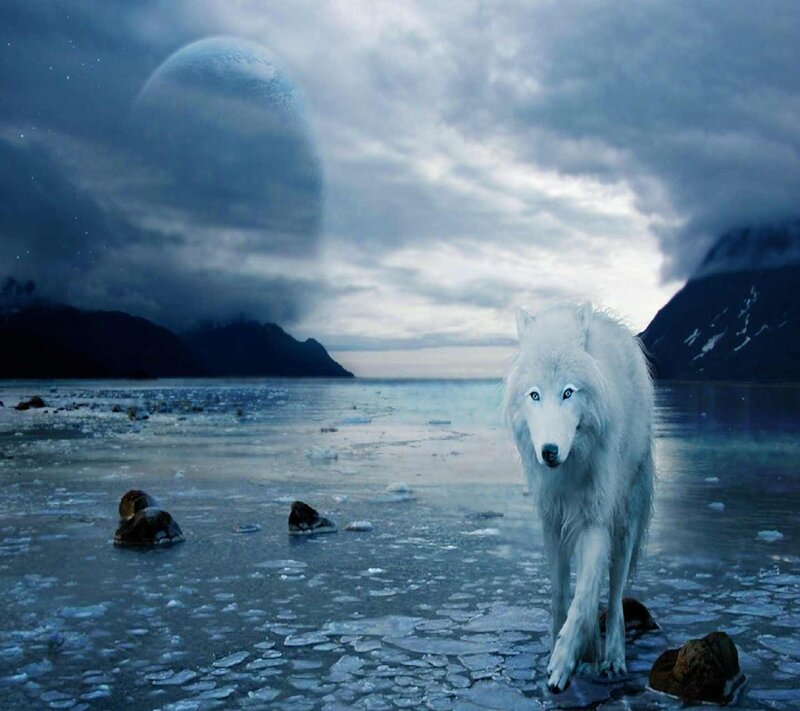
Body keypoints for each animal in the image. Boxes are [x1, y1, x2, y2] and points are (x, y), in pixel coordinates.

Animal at [503, 302, 654, 693]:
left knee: (614, 594)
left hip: (624, 520)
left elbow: (585, 595)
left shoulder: (594, 521)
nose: (549, 452)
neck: (570, 469)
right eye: (535, 395)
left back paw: (612, 657)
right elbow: (560, 594)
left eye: (568, 393)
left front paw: (564, 661)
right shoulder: (552, 522)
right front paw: (561, 648)